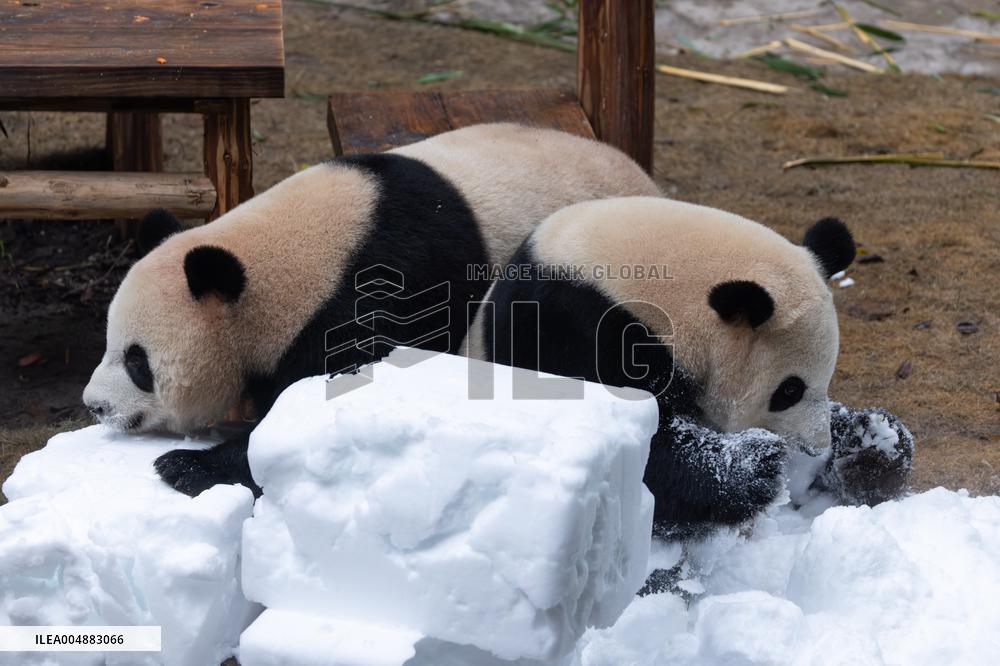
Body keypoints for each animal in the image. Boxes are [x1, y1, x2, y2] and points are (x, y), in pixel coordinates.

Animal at [466, 196, 913, 536]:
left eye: (825, 378)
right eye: (789, 390)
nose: (815, 448)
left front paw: (870, 441)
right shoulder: (576, 327)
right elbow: (640, 450)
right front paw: (755, 465)